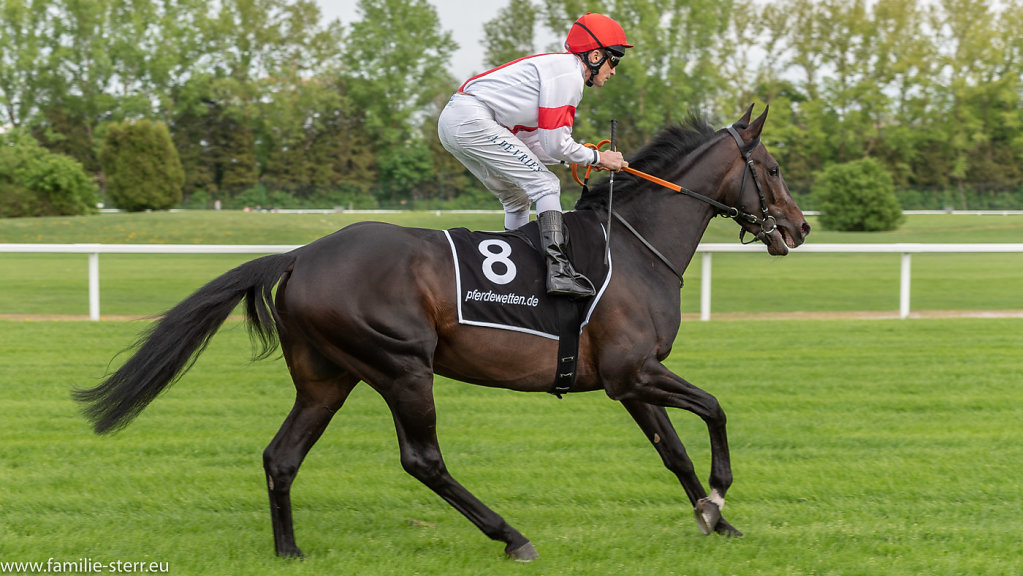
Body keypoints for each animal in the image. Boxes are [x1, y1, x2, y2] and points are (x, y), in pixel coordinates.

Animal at [72, 105, 810, 560]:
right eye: (772, 169)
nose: (800, 228)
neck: (632, 248)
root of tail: (301, 254)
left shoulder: (626, 381)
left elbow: (673, 452)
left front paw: (716, 519)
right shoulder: (632, 371)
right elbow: (714, 410)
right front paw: (720, 493)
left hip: (326, 378)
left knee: (281, 456)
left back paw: (289, 550)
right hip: (401, 365)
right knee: (422, 459)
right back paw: (510, 535)